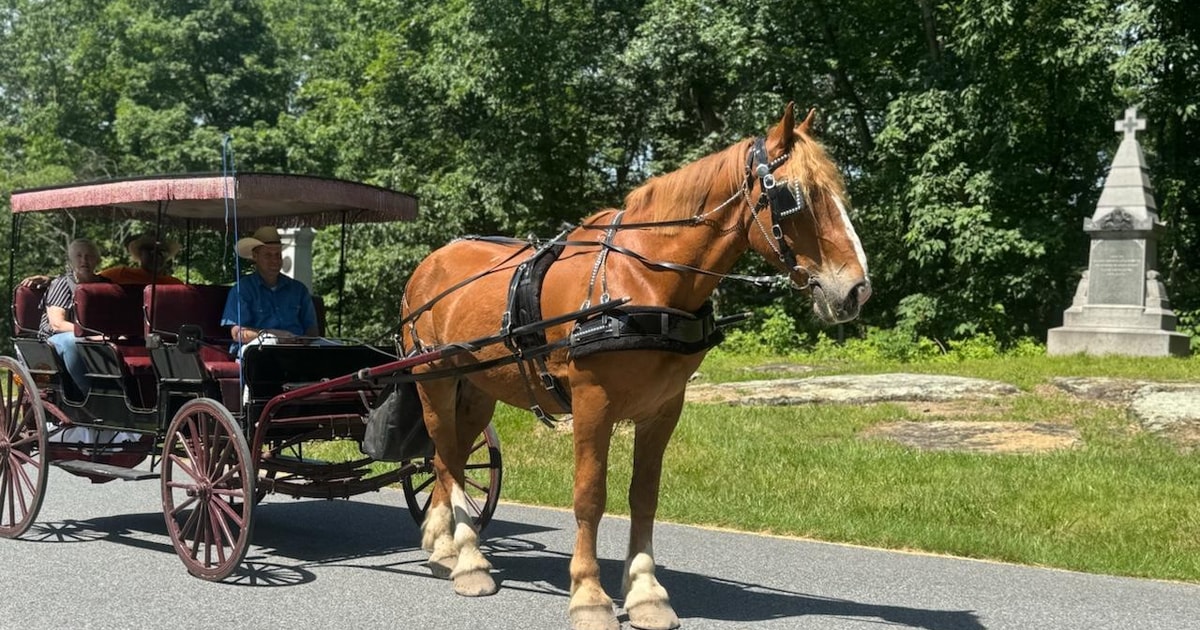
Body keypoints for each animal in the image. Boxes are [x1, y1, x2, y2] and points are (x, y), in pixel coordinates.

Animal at [398, 104, 868, 628]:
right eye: (794, 196)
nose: (856, 289)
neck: (643, 281)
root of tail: (430, 262)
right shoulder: (592, 403)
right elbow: (590, 496)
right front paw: (589, 594)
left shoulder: (664, 408)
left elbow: (644, 496)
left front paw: (645, 593)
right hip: (433, 382)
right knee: (446, 459)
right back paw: (468, 561)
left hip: (477, 389)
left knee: (450, 459)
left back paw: (444, 547)